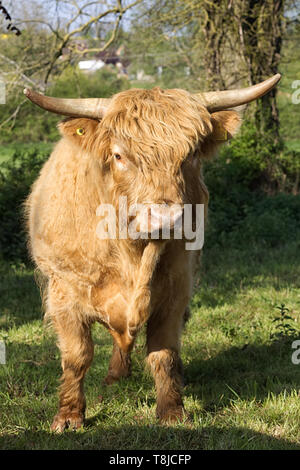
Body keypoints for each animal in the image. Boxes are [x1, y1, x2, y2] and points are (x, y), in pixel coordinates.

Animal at [24, 75, 282, 432]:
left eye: (191, 154)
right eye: (119, 155)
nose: (165, 218)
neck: (130, 255)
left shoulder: (175, 289)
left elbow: (164, 353)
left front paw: (172, 411)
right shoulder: (63, 293)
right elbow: (77, 356)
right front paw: (69, 416)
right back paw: (115, 377)